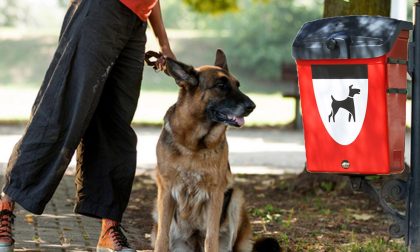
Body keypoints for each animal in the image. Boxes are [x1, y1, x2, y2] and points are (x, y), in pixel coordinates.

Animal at [151, 49, 278, 252]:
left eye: (237, 85)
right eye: (221, 85)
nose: (252, 106)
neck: (194, 145)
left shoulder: (215, 194)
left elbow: (211, 239)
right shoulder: (166, 191)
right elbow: (162, 238)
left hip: (236, 199)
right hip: (158, 207)